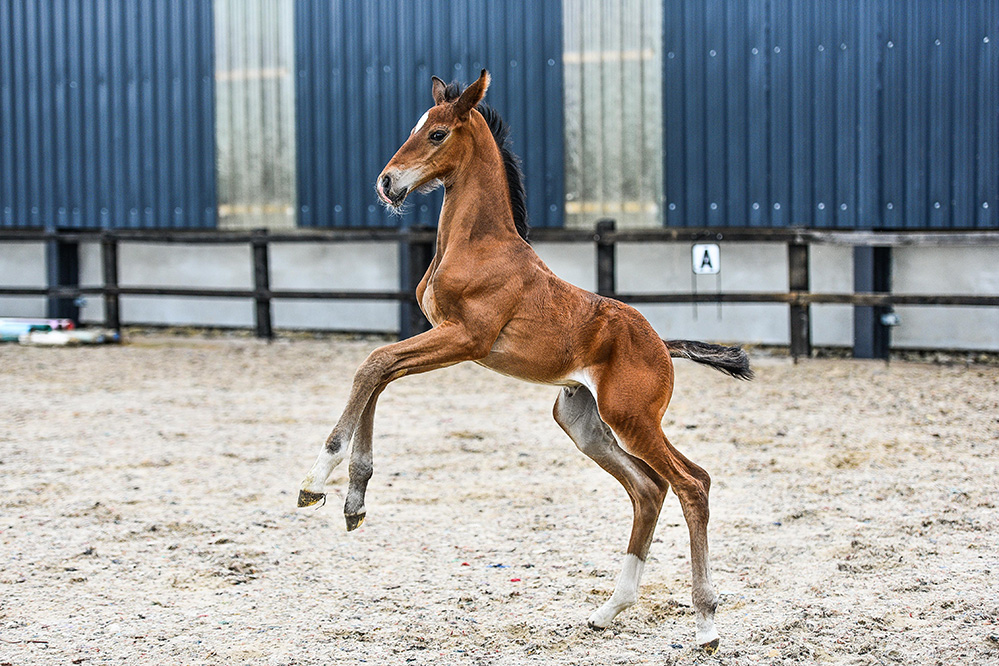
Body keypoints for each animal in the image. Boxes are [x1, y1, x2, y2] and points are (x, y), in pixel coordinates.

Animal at [296, 71, 752, 648]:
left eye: (438, 133)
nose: (387, 183)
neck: (475, 245)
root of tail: (660, 343)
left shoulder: (464, 339)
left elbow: (374, 364)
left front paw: (316, 481)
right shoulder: (442, 337)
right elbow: (379, 373)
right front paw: (354, 499)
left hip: (632, 418)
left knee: (693, 483)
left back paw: (706, 624)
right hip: (581, 421)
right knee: (649, 490)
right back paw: (609, 610)